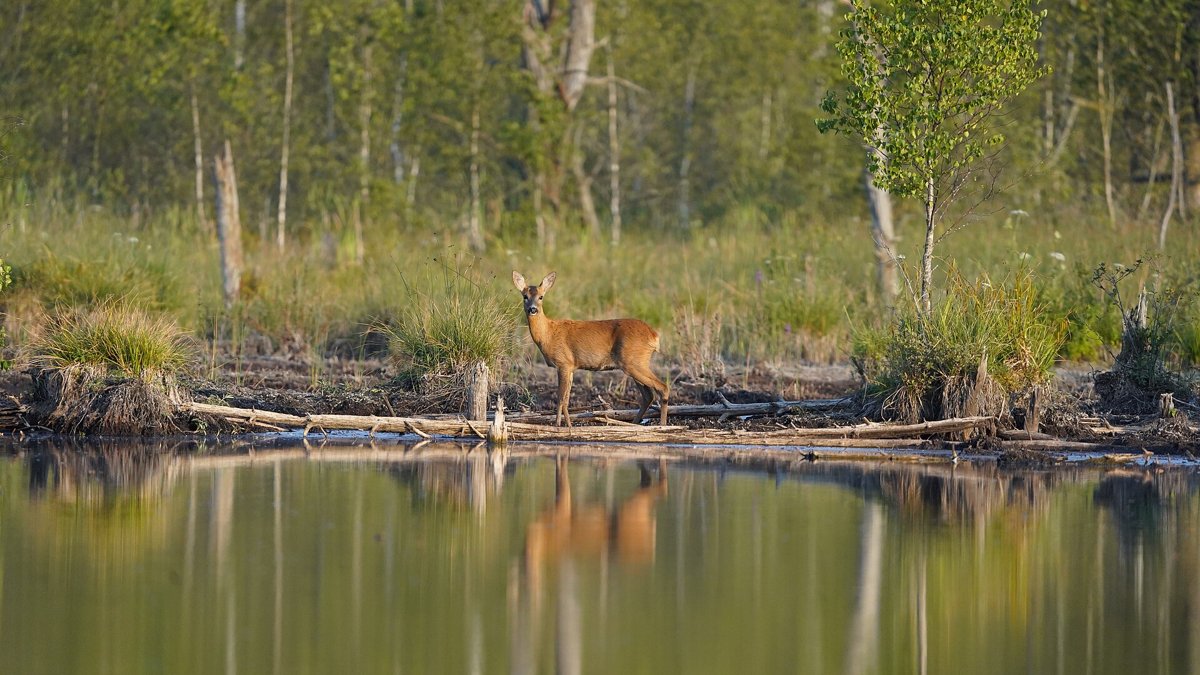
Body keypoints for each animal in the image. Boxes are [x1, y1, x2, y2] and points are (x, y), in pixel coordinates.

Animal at [512, 271, 669, 426]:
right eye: (525, 296)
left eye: (541, 296)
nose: (533, 309)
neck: (548, 334)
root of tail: (654, 335)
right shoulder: (571, 367)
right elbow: (566, 400)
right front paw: (567, 425)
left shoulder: (563, 363)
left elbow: (560, 398)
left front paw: (559, 426)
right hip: (634, 363)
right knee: (648, 395)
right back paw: (634, 424)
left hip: (634, 362)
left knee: (663, 388)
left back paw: (661, 425)